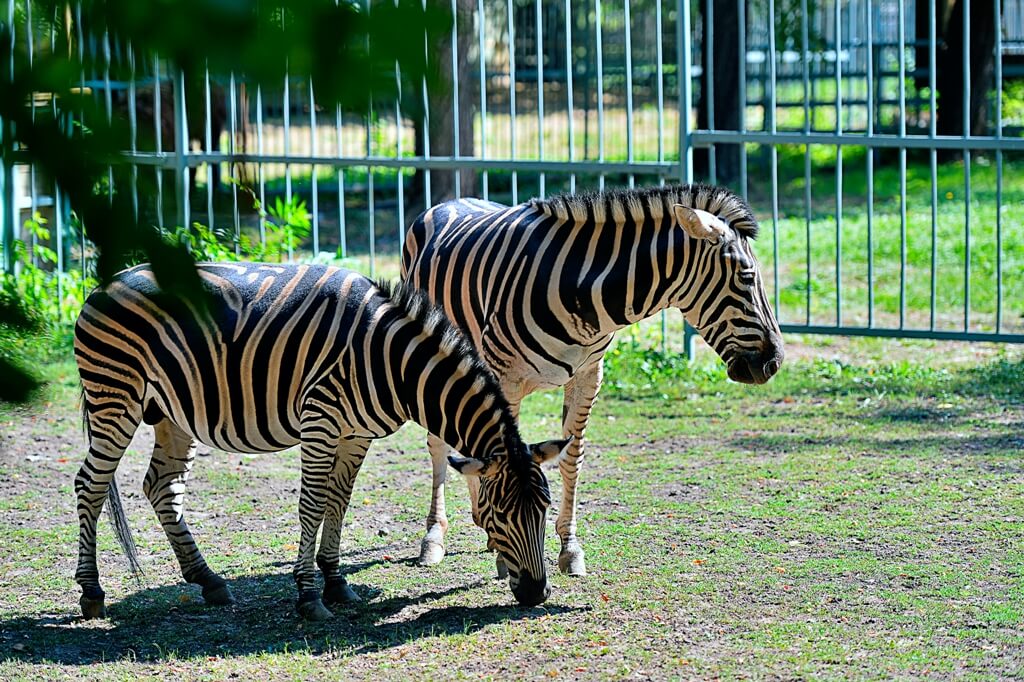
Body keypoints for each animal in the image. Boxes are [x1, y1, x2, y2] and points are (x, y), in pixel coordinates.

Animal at [74, 262, 569, 618]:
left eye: (545, 508)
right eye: (500, 514)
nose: (537, 593)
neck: (392, 362)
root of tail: (104, 284)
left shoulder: (356, 434)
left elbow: (339, 501)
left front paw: (335, 582)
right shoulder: (321, 421)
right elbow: (312, 505)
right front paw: (309, 596)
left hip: (170, 413)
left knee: (162, 486)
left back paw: (209, 580)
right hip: (115, 397)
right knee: (91, 485)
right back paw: (92, 592)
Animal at [399, 182, 782, 573]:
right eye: (747, 278)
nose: (774, 363)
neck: (582, 290)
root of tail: (452, 200)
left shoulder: (587, 375)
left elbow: (572, 457)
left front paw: (569, 548)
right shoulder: (507, 378)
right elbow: (502, 459)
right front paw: (507, 558)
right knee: (438, 444)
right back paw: (434, 537)